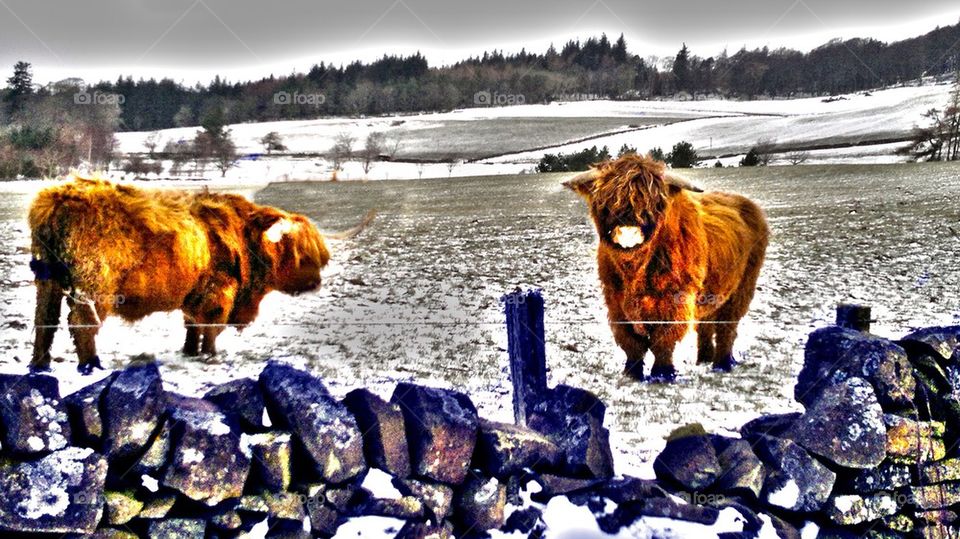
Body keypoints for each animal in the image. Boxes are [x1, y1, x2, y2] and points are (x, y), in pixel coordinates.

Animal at [28, 175, 367, 373]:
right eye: (299, 254)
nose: (316, 283)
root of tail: (56, 199)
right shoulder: (220, 290)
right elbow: (212, 325)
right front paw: (211, 355)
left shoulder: (196, 293)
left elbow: (192, 323)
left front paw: (190, 352)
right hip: (95, 283)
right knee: (81, 322)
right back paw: (90, 365)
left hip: (48, 280)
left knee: (45, 319)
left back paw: (40, 365)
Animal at [564, 154, 769, 382]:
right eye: (606, 200)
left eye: (654, 203)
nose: (628, 232)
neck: (635, 270)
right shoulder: (615, 303)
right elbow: (631, 343)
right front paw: (632, 373)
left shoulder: (675, 300)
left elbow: (663, 340)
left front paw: (662, 373)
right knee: (706, 324)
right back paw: (704, 358)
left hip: (741, 289)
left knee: (727, 328)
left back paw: (721, 363)